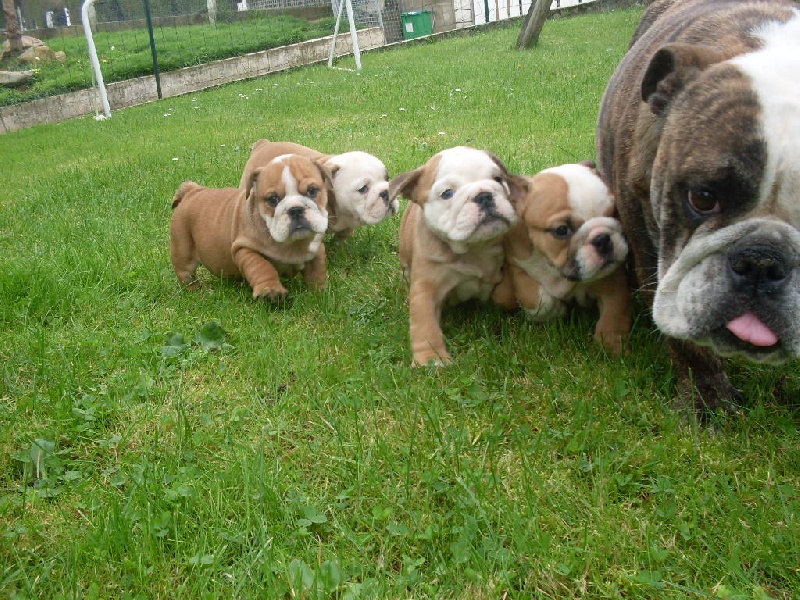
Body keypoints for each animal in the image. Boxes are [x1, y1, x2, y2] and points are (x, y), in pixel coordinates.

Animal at [169, 154, 332, 300]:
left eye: (312, 190)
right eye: (272, 199)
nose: (296, 209)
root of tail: (191, 191)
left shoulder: (316, 249)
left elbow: (317, 270)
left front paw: (319, 293)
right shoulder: (245, 249)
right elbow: (262, 267)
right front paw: (271, 290)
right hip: (183, 247)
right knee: (186, 273)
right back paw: (197, 291)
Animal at [392, 148, 524, 368]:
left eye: (498, 179)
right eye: (447, 193)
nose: (484, 195)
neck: (475, 248)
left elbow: (505, 293)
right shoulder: (426, 288)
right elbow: (425, 325)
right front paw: (431, 359)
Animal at [494, 162, 632, 354]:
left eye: (615, 212)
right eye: (561, 230)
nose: (602, 239)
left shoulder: (612, 280)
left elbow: (614, 313)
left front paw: (611, 346)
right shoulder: (519, 266)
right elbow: (535, 298)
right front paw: (555, 311)